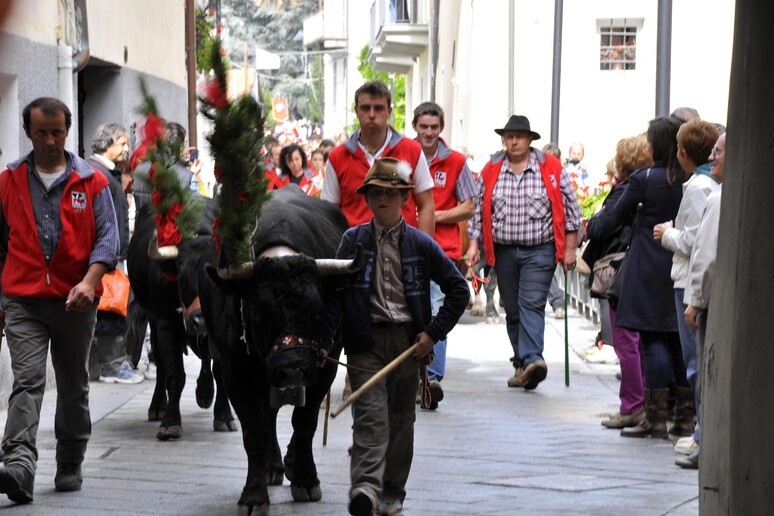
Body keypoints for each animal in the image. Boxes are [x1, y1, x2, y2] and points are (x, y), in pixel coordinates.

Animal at [127, 198, 238, 440]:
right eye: (181, 277)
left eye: (214, 278)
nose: (200, 322)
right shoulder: (166, 325)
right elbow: (174, 374)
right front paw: (170, 423)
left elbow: (220, 372)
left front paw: (224, 417)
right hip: (153, 322)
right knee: (160, 362)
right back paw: (158, 406)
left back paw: (205, 392)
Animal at [202, 186, 362, 516]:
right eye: (257, 312)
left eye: (318, 310)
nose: (292, 368)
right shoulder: (235, 372)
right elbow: (255, 431)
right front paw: (253, 495)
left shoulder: (323, 368)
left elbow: (305, 422)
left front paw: (305, 478)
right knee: (268, 415)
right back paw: (271, 466)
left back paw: (284, 463)